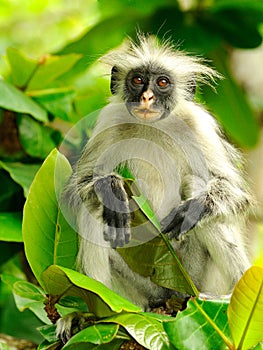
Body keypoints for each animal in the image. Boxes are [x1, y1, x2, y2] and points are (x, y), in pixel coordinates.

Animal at [57, 34, 252, 340]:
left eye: (162, 83)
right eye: (138, 80)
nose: (147, 97)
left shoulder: (198, 125)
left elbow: (233, 191)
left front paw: (197, 208)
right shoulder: (109, 121)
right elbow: (78, 188)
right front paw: (109, 187)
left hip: (197, 279)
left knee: (196, 187)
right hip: (140, 291)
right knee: (95, 208)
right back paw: (94, 317)